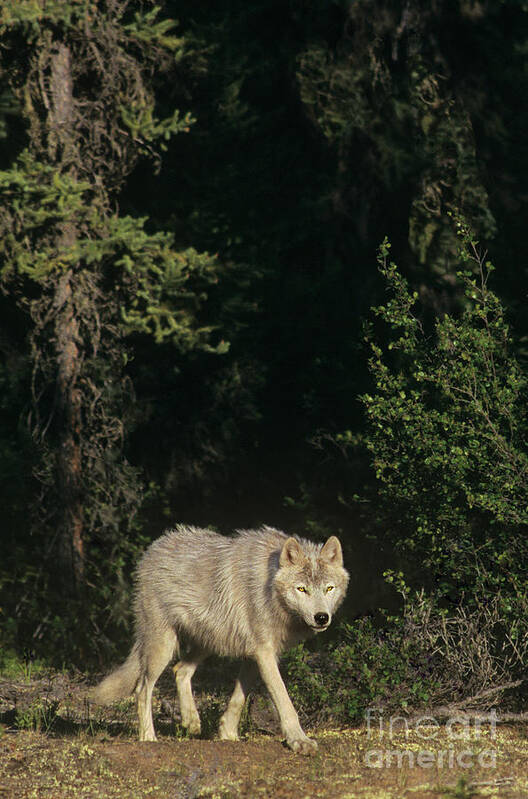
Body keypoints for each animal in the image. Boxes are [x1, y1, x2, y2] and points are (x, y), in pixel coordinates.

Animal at [90, 524, 348, 756]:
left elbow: (238, 698)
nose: (321, 617)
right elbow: (284, 701)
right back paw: (148, 737)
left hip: (207, 643)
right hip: (163, 647)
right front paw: (299, 741)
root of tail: (152, 549)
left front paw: (228, 734)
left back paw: (192, 722)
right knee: (143, 688)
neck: (270, 591)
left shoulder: (256, 655)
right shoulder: (264, 653)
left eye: (329, 588)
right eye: (302, 589)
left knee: (180, 670)